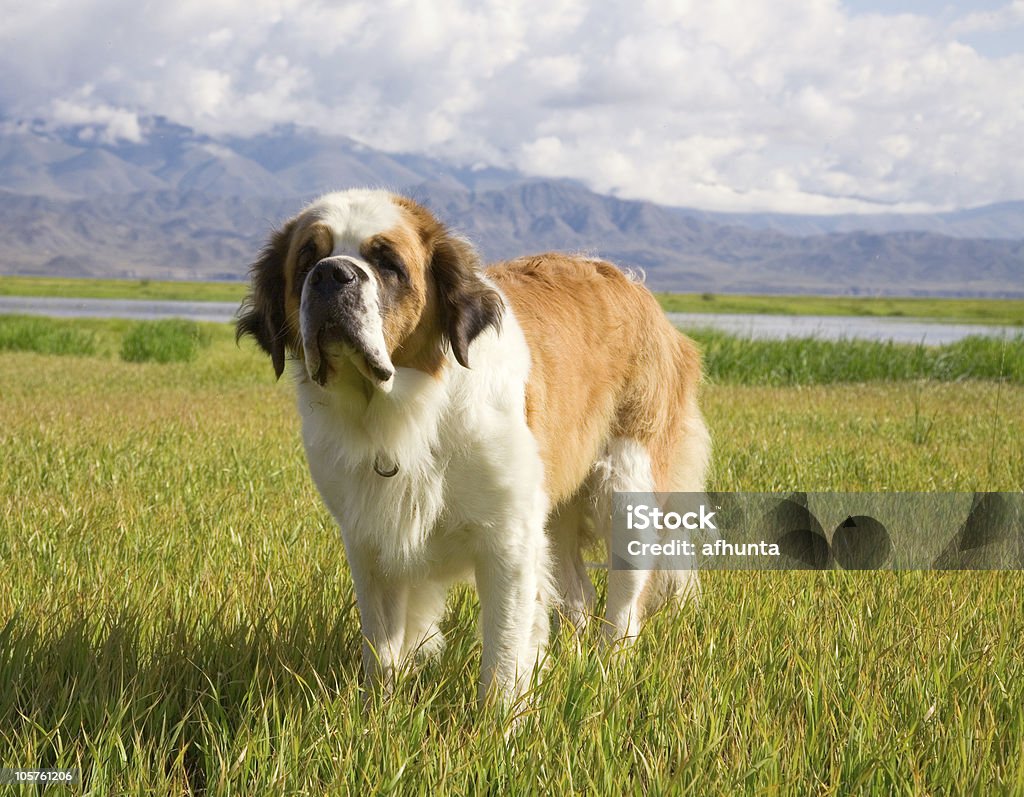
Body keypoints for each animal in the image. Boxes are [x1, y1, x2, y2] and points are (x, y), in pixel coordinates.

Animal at [235, 187, 708, 700]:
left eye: (387, 263)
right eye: (306, 260)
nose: (331, 274)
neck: (405, 414)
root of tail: (636, 287)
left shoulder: (508, 537)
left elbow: (504, 647)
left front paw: (500, 717)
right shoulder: (369, 539)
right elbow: (381, 645)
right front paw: (376, 710)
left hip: (627, 482)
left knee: (625, 597)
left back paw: (607, 671)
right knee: (577, 592)